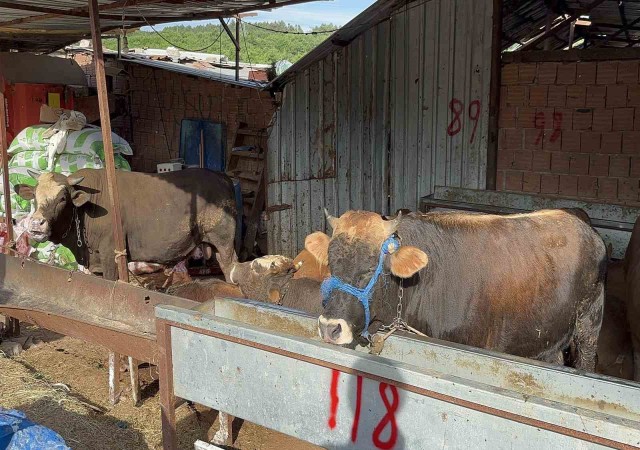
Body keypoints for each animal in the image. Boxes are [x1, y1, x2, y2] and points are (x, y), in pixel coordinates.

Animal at [308, 209, 608, 370]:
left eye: (371, 268)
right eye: (331, 264)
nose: (329, 328)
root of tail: (586, 229)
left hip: (589, 323)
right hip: (545, 333)